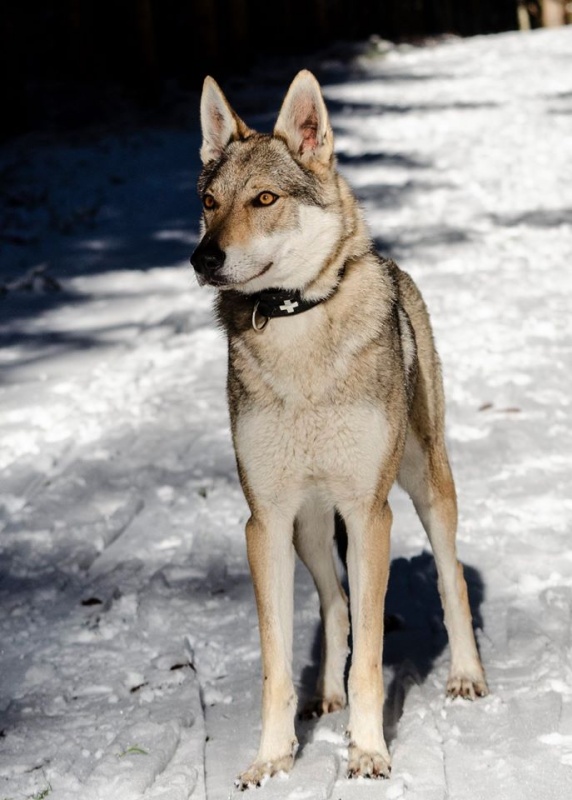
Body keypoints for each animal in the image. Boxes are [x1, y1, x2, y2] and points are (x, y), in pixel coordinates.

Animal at [191, 69, 488, 788]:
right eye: (210, 202)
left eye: (264, 199)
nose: (202, 258)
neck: (296, 327)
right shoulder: (265, 522)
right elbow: (278, 666)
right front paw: (272, 759)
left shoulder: (369, 512)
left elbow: (373, 663)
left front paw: (369, 753)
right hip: (308, 529)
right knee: (335, 605)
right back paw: (323, 694)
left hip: (426, 490)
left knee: (451, 579)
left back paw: (466, 676)